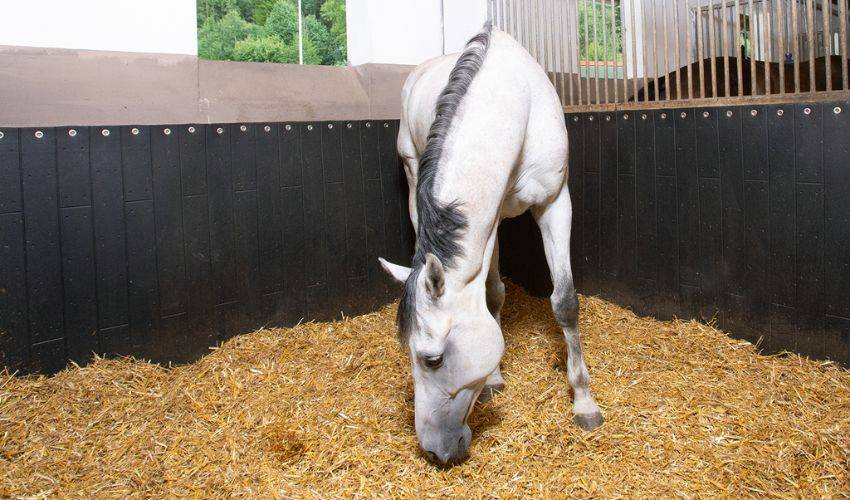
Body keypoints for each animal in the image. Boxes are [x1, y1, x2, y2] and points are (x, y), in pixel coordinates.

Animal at [377, 22, 604, 466]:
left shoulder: (556, 202)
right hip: (413, 176)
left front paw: (584, 403)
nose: (434, 451)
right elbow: (494, 293)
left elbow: (565, 301)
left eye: (432, 358)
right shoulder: (490, 218)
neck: (516, 108)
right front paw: (496, 378)